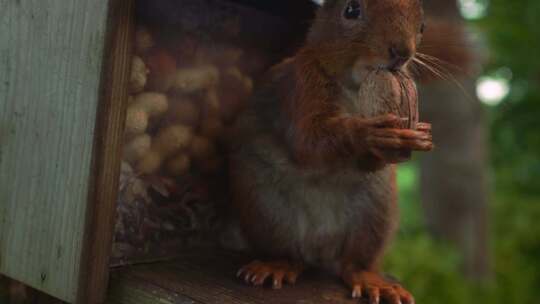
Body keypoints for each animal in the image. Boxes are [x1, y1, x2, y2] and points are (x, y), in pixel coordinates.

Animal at [228, 1, 434, 302]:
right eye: (351, 10)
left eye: (422, 26)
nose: (402, 52)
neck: (356, 86)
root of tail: (320, 247)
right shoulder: (302, 85)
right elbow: (308, 141)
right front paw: (369, 133)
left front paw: (420, 135)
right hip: (264, 207)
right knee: (288, 253)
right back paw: (277, 265)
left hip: (375, 212)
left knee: (354, 264)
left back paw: (373, 281)